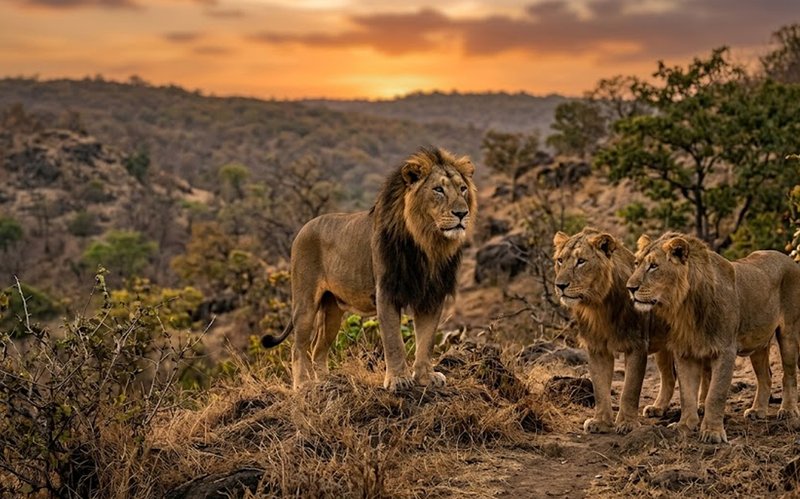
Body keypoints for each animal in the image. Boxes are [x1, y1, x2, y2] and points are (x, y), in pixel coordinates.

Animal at [261, 147, 477, 391]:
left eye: (462, 189)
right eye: (438, 189)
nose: (462, 213)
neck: (428, 244)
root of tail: (303, 228)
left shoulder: (431, 296)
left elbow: (426, 341)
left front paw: (425, 377)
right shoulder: (387, 292)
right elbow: (393, 341)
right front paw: (398, 380)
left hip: (332, 309)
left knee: (318, 347)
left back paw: (327, 381)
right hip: (305, 302)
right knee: (298, 346)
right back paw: (304, 385)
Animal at [553, 228, 674, 434]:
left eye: (581, 261)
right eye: (560, 260)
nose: (560, 285)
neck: (598, 306)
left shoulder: (637, 345)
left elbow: (630, 389)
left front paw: (626, 423)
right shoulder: (597, 348)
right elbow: (600, 388)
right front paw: (600, 422)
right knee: (670, 377)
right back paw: (658, 408)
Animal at [627, 232, 800, 443]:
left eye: (653, 266)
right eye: (636, 263)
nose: (629, 288)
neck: (685, 307)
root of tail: (788, 258)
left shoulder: (726, 351)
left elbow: (715, 394)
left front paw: (712, 432)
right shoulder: (685, 352)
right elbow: (687, 394)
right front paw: (684, 426)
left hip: (788, 333)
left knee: (789, 374)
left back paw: (788, 410)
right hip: (758, 343)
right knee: (766, 377)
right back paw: (757, 411)